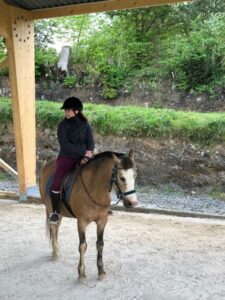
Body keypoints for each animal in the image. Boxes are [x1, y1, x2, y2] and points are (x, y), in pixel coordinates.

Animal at [38, 149, 137, 278]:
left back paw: (56, 250)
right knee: (54, 227)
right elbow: (82, 246)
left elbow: (100, 244)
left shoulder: (102, 221)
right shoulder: (81, 222)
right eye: (122, 178)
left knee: (56, 227)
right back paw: (55, 253)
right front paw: (81, 273)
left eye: (134, 176)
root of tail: (45, 166)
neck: (94, 188)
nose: (132, 202)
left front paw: (101, 271)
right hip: (50, 209)